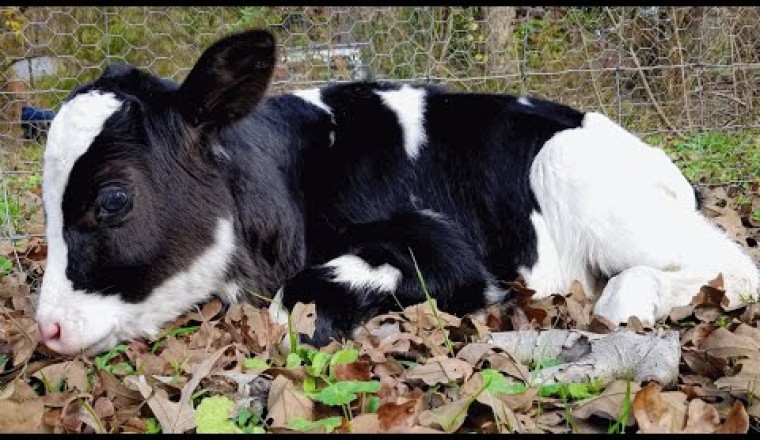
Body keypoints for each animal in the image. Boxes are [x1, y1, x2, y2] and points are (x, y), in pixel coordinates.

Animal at [35, 29, 759, 355]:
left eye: (112, 200)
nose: (47, 328)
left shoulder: (444, 245)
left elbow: (295, 301)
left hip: (572, 171)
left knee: (729, 267)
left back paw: (626, 298)